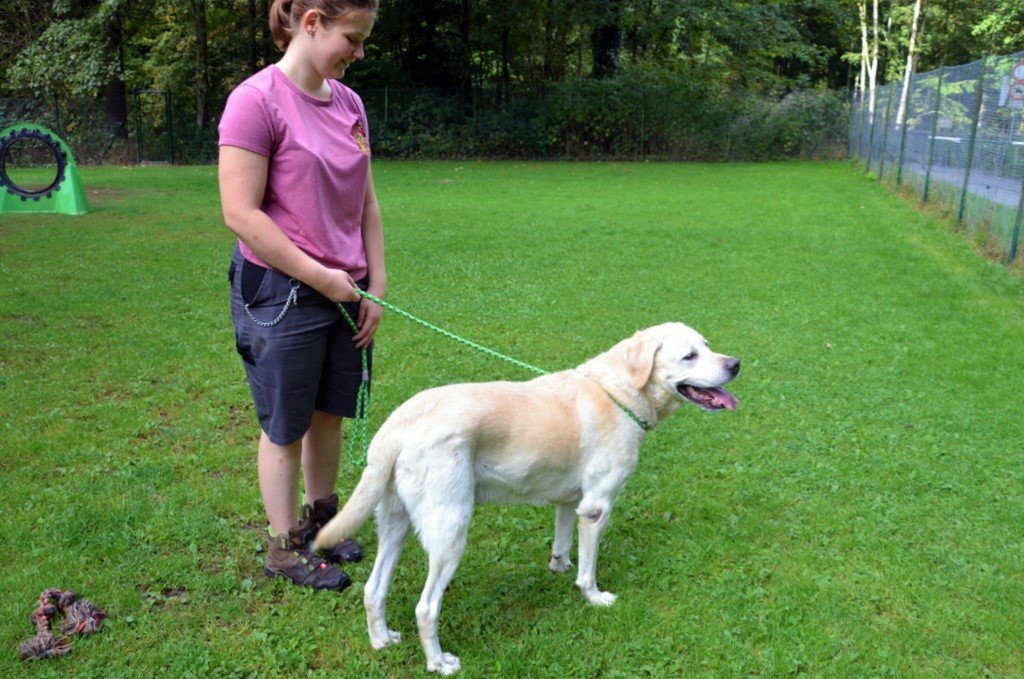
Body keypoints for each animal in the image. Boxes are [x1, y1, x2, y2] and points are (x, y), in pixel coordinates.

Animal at [315, 323, 741, 675]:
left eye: (708, 346)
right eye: (689, 355)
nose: (736, 364)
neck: (619, 393)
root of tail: (396, 426)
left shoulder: (571, 503)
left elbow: (563, 543)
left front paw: (559, 567)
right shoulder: (597, 508)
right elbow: (589, 570)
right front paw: (593, 596)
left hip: (395, 524)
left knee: (373, 590)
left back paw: (382, 641)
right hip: (451, 532)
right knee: (426, 608)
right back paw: (438, 662)